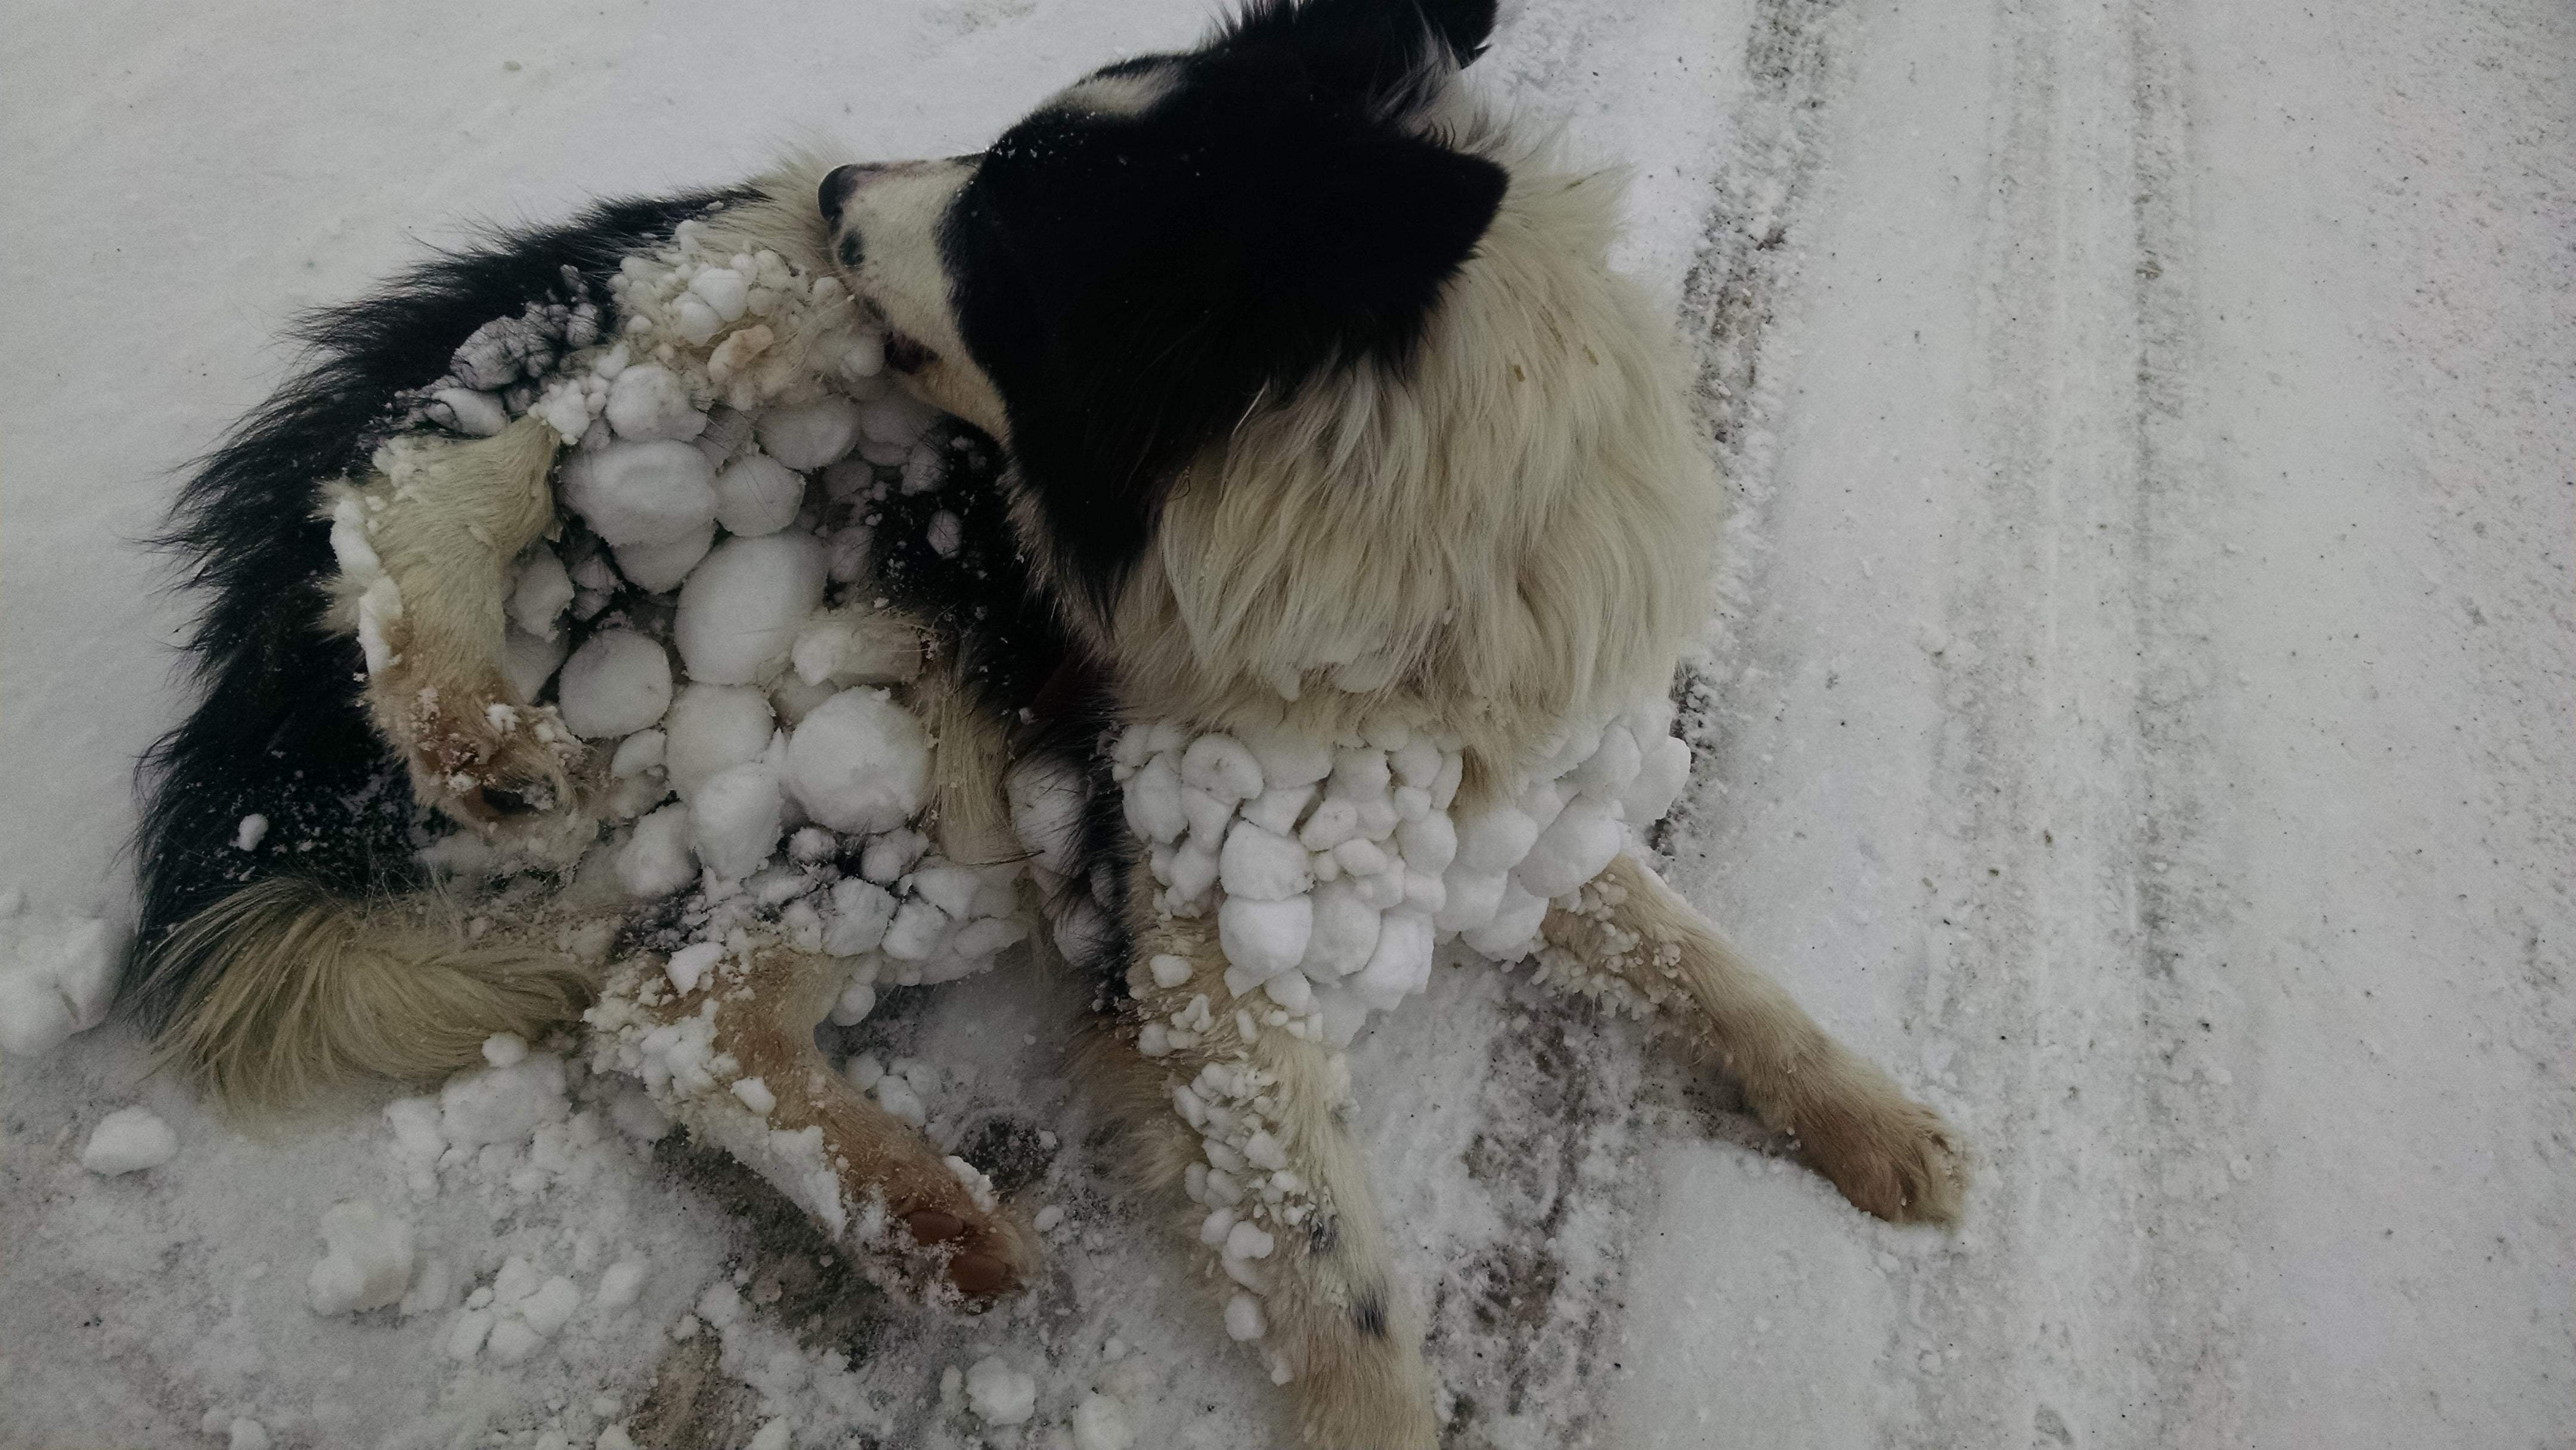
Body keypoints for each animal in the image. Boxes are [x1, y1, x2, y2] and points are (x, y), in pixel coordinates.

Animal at [131, 5, 1958, 1442]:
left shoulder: (1503, 807)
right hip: (831, 554)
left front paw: (1883, 1127)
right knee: (448, 488)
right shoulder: (1199, 952)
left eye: (1009, 222)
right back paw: (474, 730)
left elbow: (1700, 957)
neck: (1396, 551)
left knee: (678, 997)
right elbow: (1345, 1291)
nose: (851, 191)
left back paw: (931, 1223)